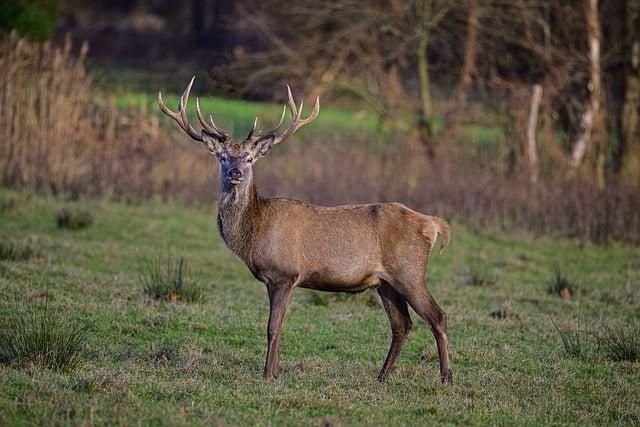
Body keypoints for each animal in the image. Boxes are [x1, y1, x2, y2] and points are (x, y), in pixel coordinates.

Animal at [158, 77, 452, 384]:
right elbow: (279, 326)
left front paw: (267, 374)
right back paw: (382, 376)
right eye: (223, 157)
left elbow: (273, 327)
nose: (235, 173)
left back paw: (446, 377)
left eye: (249, 158)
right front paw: (275, 371)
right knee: (402, 324)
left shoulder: (284, 273)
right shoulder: (278, 279)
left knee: (438, 316)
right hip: (385, 282)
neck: (255, 233)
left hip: (409, 271)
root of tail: (434, 224)